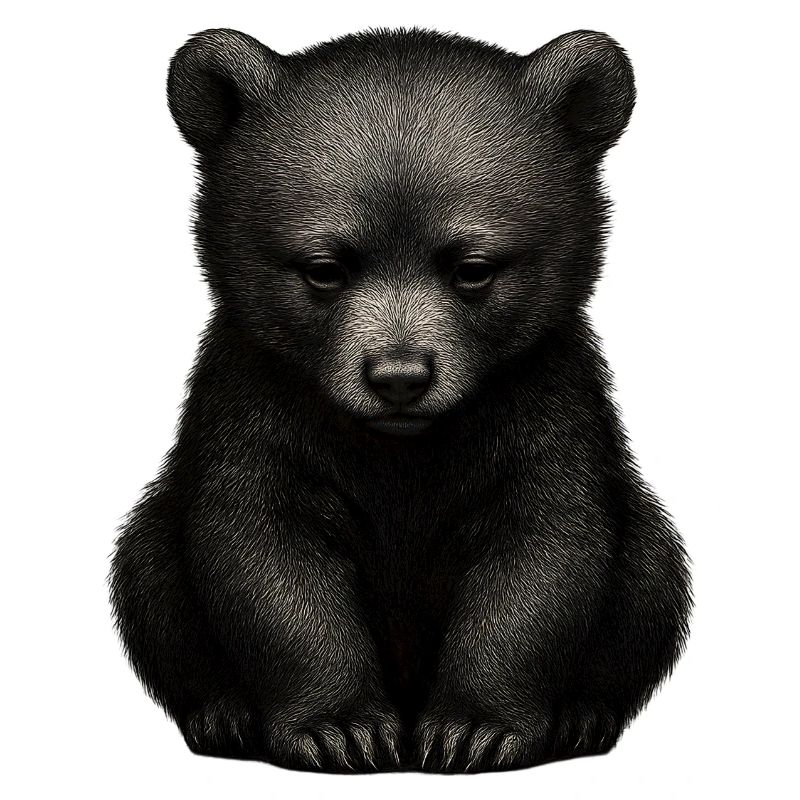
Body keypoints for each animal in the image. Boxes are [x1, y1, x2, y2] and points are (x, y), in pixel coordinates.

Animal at [109, 27, 692, 773]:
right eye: (324, 267)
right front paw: (342, 727)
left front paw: (475, 729)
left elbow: (542, 558)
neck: (401, 445)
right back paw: (223, 715)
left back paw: (584, 716)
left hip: (643, 544)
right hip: (159, 542)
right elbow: (264, 557)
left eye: (472, 267)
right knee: (148, 571)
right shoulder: (255, 406)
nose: (399, 376)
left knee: (651, 573)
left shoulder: (544, 406)